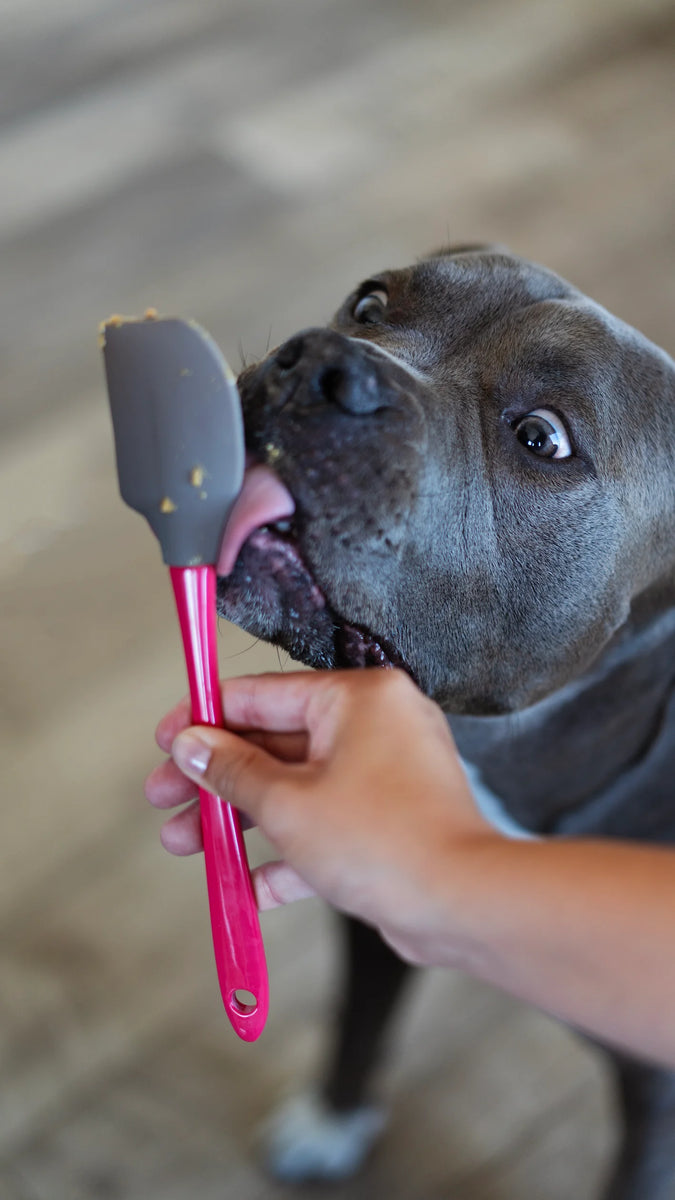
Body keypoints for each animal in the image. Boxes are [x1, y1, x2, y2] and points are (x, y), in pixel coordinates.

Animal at [213, 246, 672, 1200]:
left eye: (541, 439)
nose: (319, 364)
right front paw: (332, 1121)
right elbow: (358, 1022)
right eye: (368, 303)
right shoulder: (372, 882)